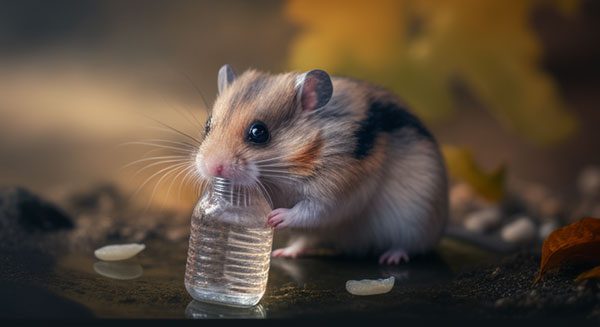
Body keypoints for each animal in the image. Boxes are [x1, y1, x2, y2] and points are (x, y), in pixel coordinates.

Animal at [195, 64, 448, 266]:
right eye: (207, 125)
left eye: (259, 132)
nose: (211, 168)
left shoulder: (338, 191)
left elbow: (311, 210)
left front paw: (275, 218)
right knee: (306, 240)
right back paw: (283, 253)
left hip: (415, 223)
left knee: (408, 246)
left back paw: (390, 258)